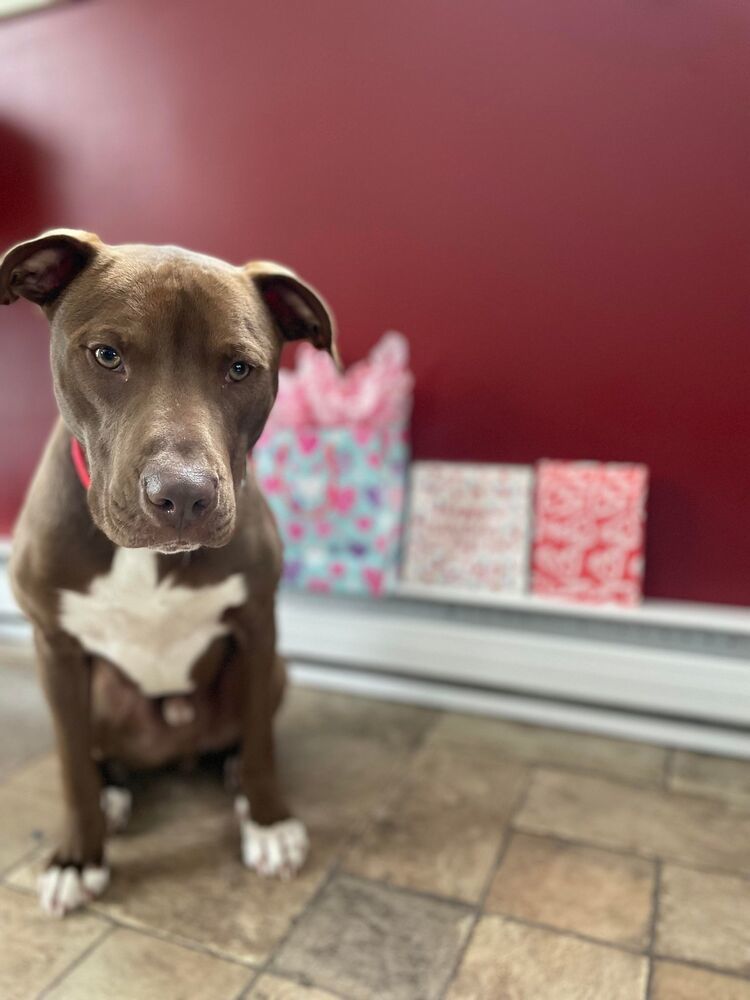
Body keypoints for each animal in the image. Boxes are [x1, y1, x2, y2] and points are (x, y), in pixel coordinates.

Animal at [0, 230, 334, 916]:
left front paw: (267, 820)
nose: (182, 494)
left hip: (274, 669)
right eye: (106, 355)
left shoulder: (258, 624)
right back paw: (112, 793)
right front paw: (78, 858)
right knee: (94, 753)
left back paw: (231, 772)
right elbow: (70, 765)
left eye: (240, 368)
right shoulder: (54, 645)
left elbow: (261, 740)